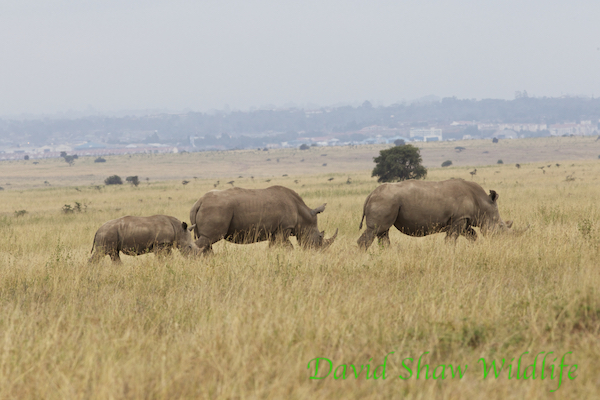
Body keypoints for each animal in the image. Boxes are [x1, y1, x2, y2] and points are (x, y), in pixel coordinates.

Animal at [358, 179, 524, 250]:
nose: (506, 243)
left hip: (385, 201)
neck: (483, 204)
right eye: (501, 227)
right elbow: (451, 239)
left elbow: (472, 235)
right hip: (384, 201)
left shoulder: (463, 219)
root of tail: (370, 195)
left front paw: (472, 248)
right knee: (375, 230)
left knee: (382, 232)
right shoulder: (459, 219)